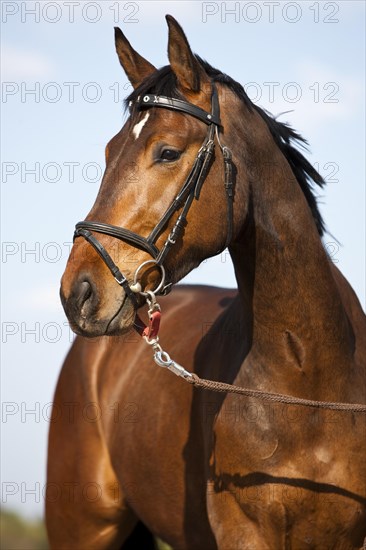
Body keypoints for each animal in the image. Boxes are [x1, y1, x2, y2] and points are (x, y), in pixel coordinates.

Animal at [46, 15, 366, 548]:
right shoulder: (245, 533)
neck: (308, 378)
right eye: (110, 151)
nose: (79, 293)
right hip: (81, 527)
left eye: (168, 152)